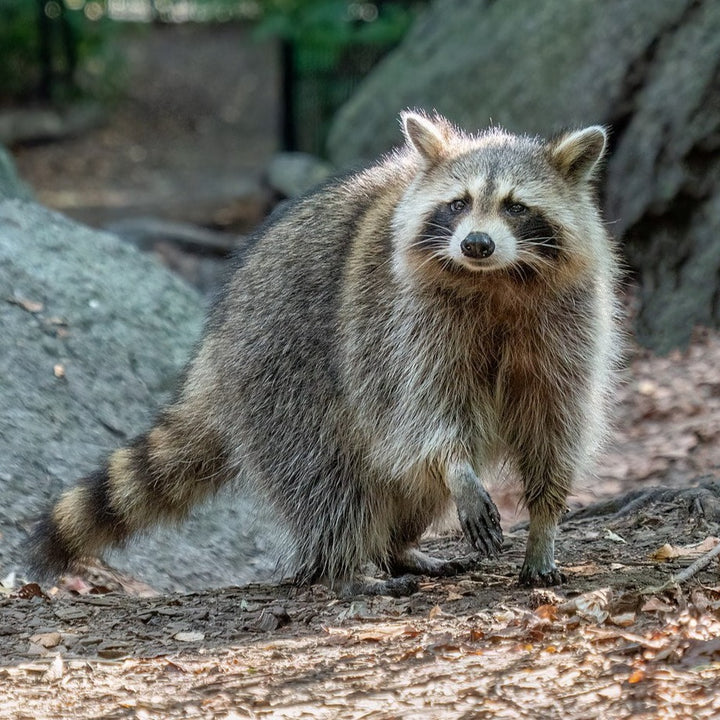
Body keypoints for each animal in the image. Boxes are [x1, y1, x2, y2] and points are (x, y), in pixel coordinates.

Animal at [28, 111, 620, 596]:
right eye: (458, 204)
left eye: (516, 207)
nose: (476, 244)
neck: (496, 280)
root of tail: (213, 353)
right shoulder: (401, 321)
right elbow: (425, 410)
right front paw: (459, 470)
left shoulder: (568, 322)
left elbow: (555, 421)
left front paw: (544, 522)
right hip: (280, 370)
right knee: (327, 474)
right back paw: (344, 566)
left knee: (403, 482)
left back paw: (398, 547)